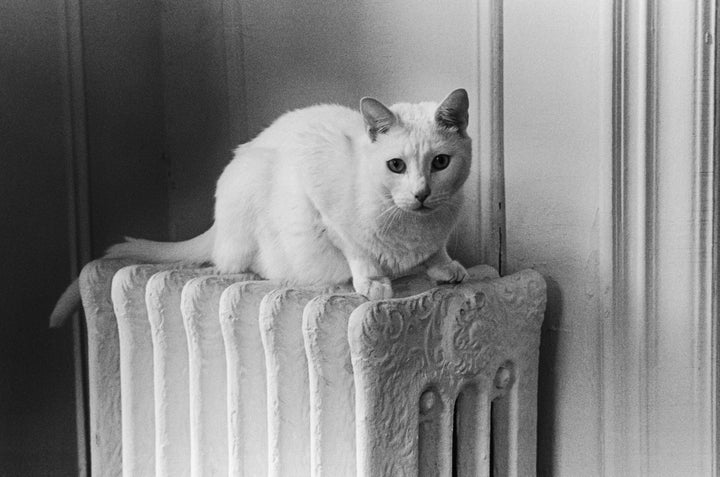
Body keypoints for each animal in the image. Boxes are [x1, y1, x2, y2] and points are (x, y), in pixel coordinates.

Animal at [49, 89, 472, 328]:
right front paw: (373, 283)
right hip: (251, 185)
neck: (414, 230)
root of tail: (216, 227)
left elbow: (437, 251)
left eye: (440, 163)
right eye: (396, 165)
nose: (421, 194)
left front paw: (445, 267)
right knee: (235, 264)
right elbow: (355, 248)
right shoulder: (320, 201)